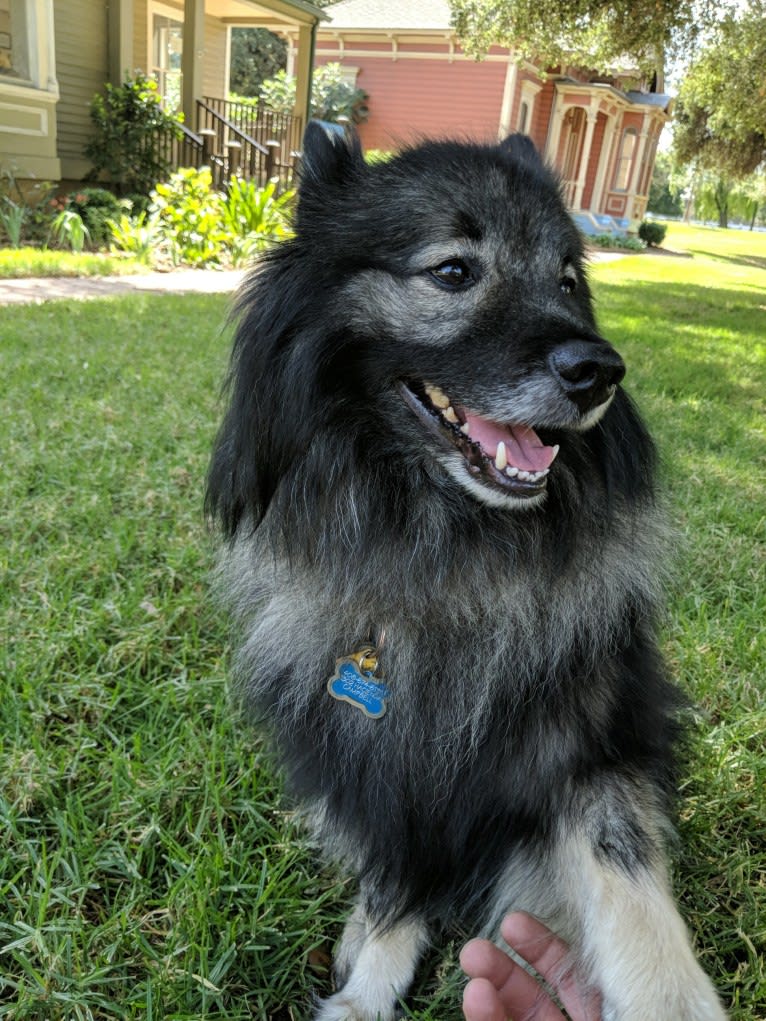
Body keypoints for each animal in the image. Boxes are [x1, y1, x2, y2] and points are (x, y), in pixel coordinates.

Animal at [207, 123, 727, 1016]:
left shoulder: (589, 741)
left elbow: (624, 866)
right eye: (453, 272)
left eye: (566, 280)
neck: (451, 547)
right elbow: (393, 883)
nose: (600, 370)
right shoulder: (385, 770)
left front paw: (669, 996)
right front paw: (368, 984)